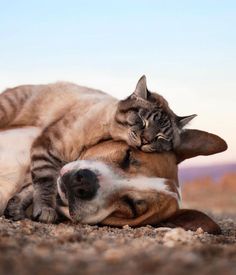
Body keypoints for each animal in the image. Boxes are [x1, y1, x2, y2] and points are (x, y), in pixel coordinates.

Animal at [0, 75, 195, 224]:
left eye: (160, 137)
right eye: (143, 120)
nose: (145, 140)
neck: (106, 132)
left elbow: (33, 185)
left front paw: (17, 208)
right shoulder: (48, 148)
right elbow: (44, 182)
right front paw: (44, 209)